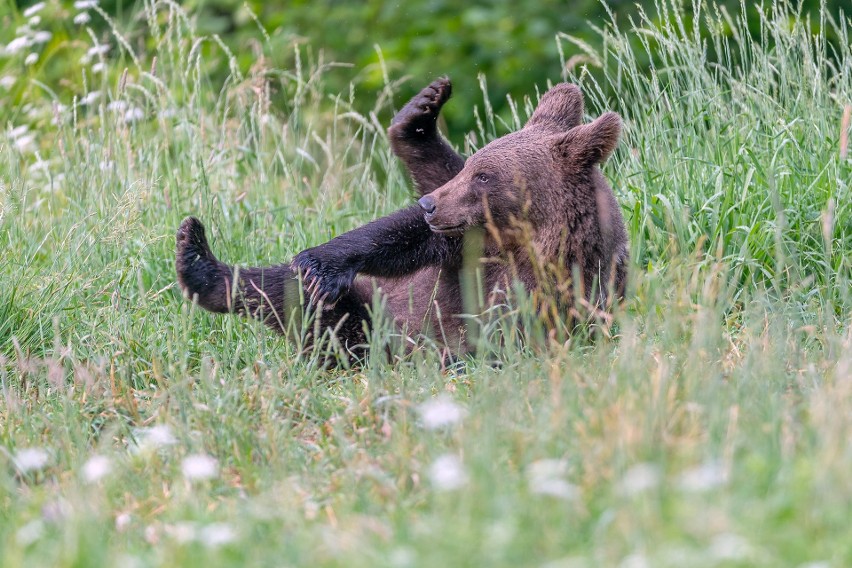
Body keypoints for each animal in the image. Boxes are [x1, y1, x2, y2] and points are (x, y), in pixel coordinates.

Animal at [175, 77, 624, 358]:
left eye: (484, 175)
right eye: (474, 166)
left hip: (367, 325)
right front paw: (322, 264)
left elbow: (497, 334)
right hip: (372, 300)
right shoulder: (467, 243)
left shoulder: (551, 287)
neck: (523, 241)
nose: (430, 205)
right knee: (285, 288)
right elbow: (401, 239)